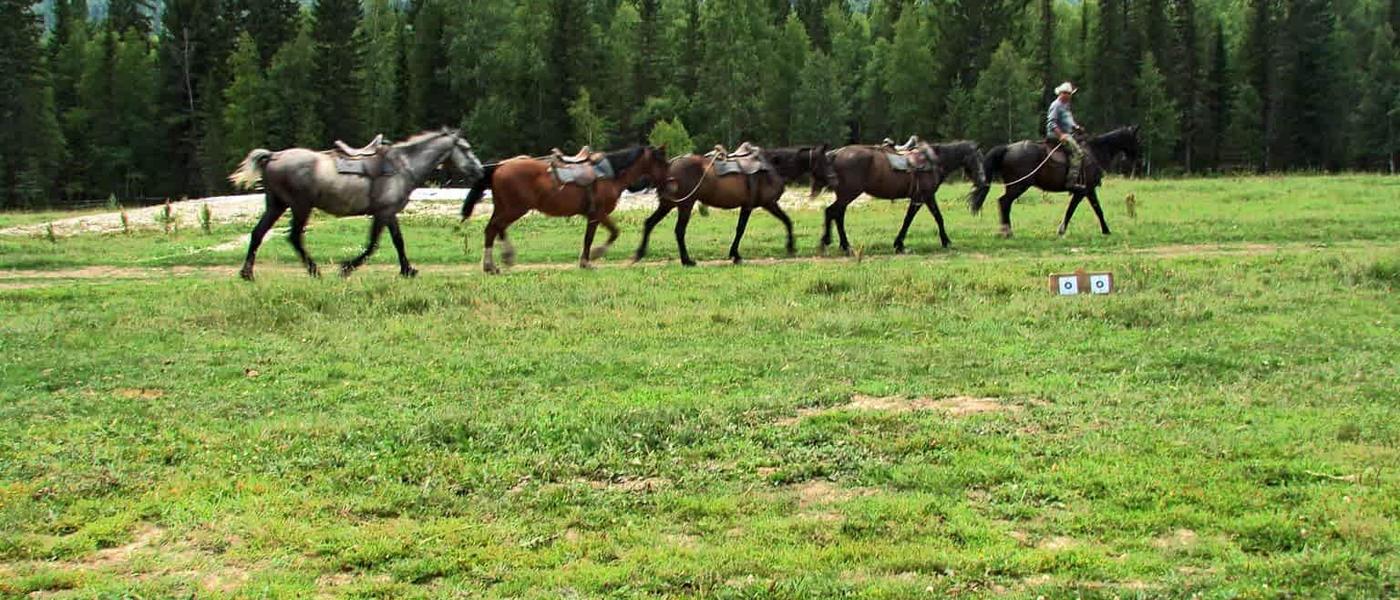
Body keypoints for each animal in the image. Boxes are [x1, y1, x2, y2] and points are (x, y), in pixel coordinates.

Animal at [228, 128, 484, 280]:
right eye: (467, 148)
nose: (480, 171)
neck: (403, 166)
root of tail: (274, 156)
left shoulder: (388, 213)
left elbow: (394, 241)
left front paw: (407, 269)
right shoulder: (383, 212)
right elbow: (376, 244)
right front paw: (346, 268)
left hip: (277, 205)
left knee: (258, 233)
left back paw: (247, 273)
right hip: (301, 206)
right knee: (294, 237)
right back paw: (314, 270)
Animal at [461, 146, 670, 272]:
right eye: (663, 162)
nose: (670, 182)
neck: (609, 175)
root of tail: (500, 166)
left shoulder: (592, 216)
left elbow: (594, 237)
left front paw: (587, 260)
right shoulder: (598, 214)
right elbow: (607, 234)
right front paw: (592, 257)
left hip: (505, 207)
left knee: (497, 228)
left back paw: (504, 257)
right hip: (514, 208)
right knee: (492, 229)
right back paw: (490, 265)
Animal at [633, 145, 831, 265]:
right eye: (824, 160)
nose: (832, 178)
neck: (773, 168)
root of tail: (670, 165)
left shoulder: (754, 206)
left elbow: (745, 228)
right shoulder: (765, 204)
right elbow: (748, 228)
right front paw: (790, 246)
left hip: (668, 204)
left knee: (649, 223)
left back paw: (640, 253)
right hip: (685, 205)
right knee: (679, 231)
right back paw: (686, 260)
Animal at [816, 140, 989, 255]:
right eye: (977, 159)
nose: (983, 180)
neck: (934, 161)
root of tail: (836, 154)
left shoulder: (928, 197)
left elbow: (938, 217)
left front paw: (945, 241)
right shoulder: (919, 198)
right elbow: (908, 220)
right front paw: (899, 244)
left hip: (846, 195)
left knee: (837, 215)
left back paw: (843, 245)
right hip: (849, 193)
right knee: (832, 212)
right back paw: (828, 241)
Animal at [972, 125, 1142, 238]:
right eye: (1137, 140)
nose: (1137, 161)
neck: (1094, 151)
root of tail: (1007, 148)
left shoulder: (1085, 191)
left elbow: (1085, 209)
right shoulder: (1086, 190)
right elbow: (1087, 209)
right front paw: (1105, 230)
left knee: (1003, 203)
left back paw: (1005, 231)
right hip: (1018, 186)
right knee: (1004, 202)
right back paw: (1008, 231)